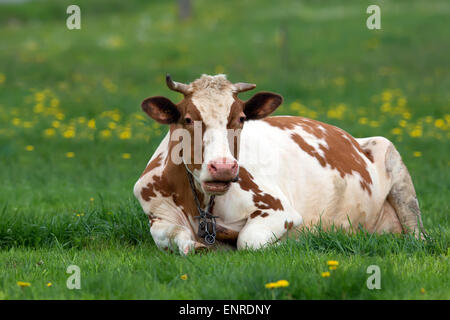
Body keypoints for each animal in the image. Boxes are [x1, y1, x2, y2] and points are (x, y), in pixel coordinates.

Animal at [134, 73, 426, 255]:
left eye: (241, 118)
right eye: (187, 119)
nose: (224, 167)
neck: (203, 203)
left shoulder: (279, 210)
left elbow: (248, 241)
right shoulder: (158, 215)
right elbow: (174, 238)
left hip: (392, 160)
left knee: (417, 233)